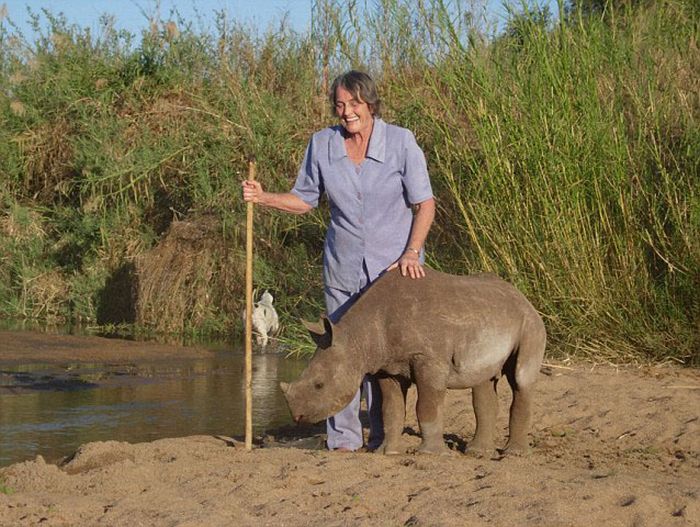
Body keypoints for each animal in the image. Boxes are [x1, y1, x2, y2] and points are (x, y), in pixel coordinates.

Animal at [278, 270, 548, 456]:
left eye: (319, 385)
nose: (297, 416)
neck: (358, 336)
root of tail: (522, 297)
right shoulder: (386, 366)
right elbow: (392, 409)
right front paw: (387, 452)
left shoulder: (428, 359)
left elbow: (426, 406)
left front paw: (430, 454)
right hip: (489, 318)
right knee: (483, 380)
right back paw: (477, 453)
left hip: (530, 323)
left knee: (521, 379)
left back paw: (514, 454)